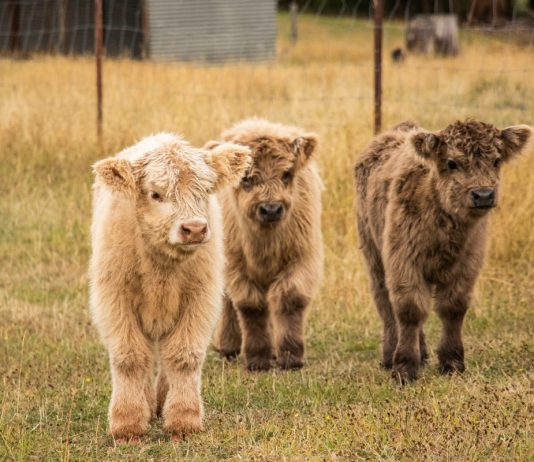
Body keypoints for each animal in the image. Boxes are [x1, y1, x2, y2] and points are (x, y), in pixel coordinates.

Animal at [89, 134, 252, 440]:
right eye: (155, 194)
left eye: (206, 190)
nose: (195, 229)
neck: (161, 268)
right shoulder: (114, 298)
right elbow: (129, 357)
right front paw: (127, 424)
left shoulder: (200, 299)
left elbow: (183, 356)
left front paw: (183, 420)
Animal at [209, 119, 326, 372]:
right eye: (246, 178)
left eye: (286, 174)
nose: (271, 209)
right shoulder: (236, 266)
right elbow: (250, 305)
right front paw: (257, 358)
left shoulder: (303, 258)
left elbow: (289, 298)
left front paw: (291, 357)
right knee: (228, 301)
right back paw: (228, 346)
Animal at [354, 119, 532, 382]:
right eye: (451, 163)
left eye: (496, 161)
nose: (483, 195)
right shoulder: (403, 261)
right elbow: (409, 309)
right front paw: (404, 367)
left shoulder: (468, 263)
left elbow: (453, 308)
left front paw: (452, 362)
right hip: (374, 254)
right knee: (385, 303)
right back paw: (389, 355)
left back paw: (423, 354)